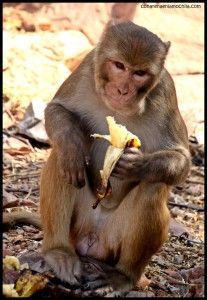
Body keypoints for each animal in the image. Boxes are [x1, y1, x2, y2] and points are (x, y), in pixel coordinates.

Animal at [3, 22, 191, 296]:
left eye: (140, 73)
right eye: (119, 66)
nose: (123, 90)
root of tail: (92, 241)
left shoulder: (166, 92)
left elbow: (182, 159)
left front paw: (136, 165)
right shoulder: (86, 68)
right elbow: (56, 109)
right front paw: (73, 143)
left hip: (113, 239)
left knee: (154, 186)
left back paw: (123, 276)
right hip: (77, 227)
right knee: (61, 159)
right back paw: (58, 251)